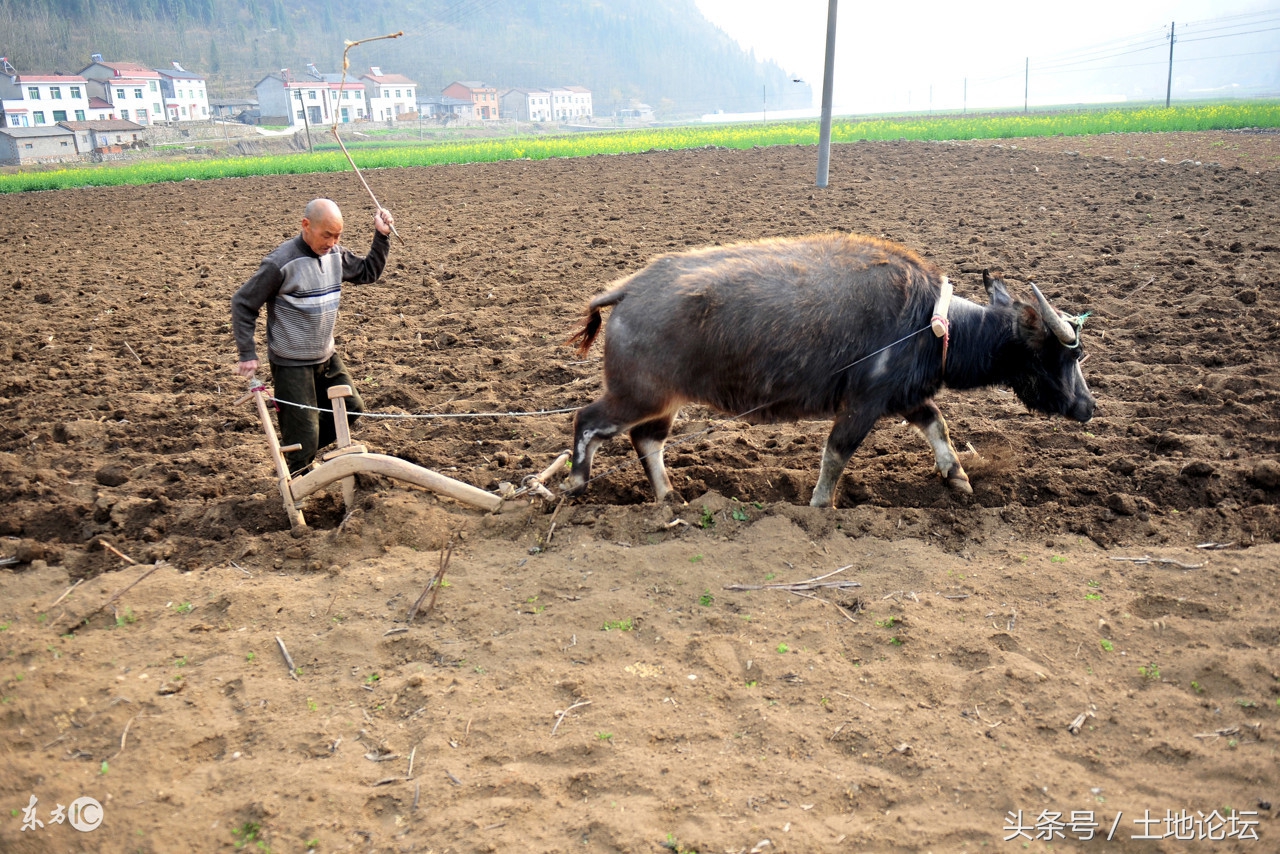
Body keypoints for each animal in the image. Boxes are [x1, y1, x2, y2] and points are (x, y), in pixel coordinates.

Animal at [565, 230, 1095, 504]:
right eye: (1068, 354)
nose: (1089, 407)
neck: (928, 323)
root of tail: (628, 290)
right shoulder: (863, 403)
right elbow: (837, 453)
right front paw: (820, 504)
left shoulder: (904, 397)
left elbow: (937, 425)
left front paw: (958, 476)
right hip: (637, 394)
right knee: (588, 421)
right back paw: (575, 484)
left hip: (662, 402)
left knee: (646, 440)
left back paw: (669, 497)